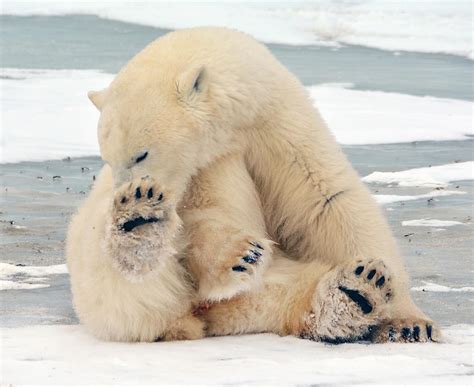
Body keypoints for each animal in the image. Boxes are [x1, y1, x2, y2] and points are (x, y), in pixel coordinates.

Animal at [67, 26, 440, 342]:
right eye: (108, 157)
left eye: (140, 154)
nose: (122, 188)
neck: (233, 131)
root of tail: (207, 319)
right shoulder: (203, 166)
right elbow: (201, 222)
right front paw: (240, 254)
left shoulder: (278, 130)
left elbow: (327, 201)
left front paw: (408, 322)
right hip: (98, 284)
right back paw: (138, 223)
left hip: (266, 292)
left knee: (293, 291)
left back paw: (356, 291)